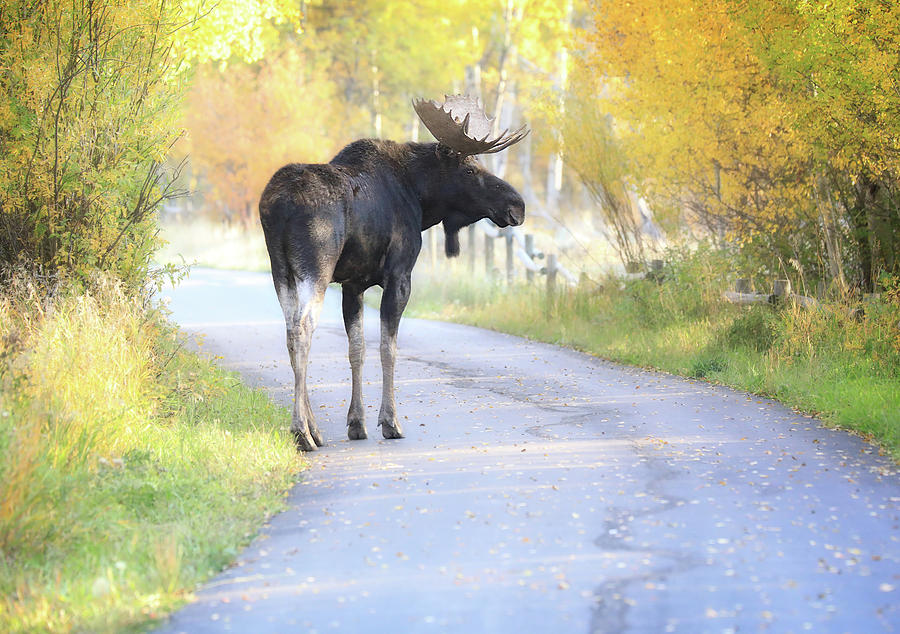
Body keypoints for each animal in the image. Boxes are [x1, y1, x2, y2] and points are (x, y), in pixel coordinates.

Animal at [259, 95, 528, 451]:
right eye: (471, 169)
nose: (518, 205)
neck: (421, 199)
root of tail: (279, 205)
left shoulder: (352, 284)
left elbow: (356, 350)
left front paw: (356, 423)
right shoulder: (399, 275)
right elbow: (389, 348)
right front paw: (390, 422)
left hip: (281, 270)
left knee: (290, 329)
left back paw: (313, 429)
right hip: (316, 267)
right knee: (303, 329)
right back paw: (302, 431)